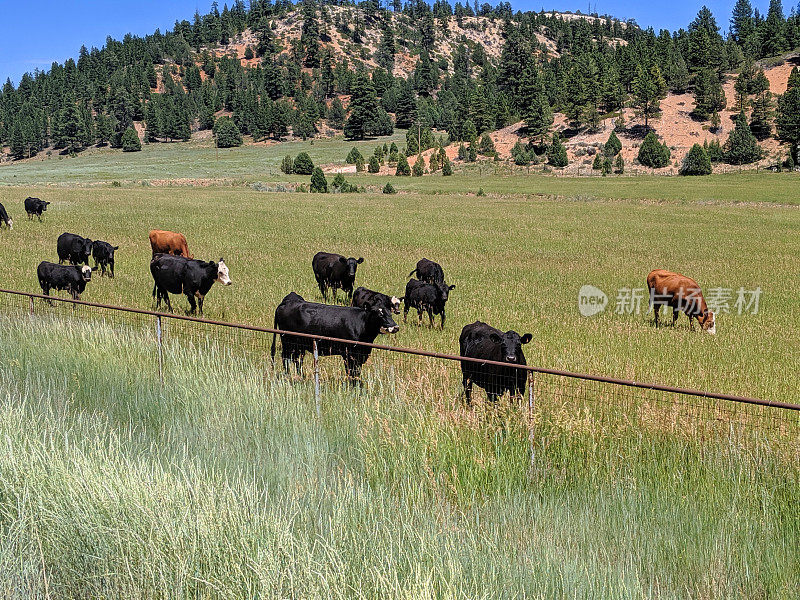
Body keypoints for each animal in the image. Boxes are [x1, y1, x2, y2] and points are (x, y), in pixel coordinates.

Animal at [272, 290, 400, 380]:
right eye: (379, 314)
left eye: (390, 312)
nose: (395, 327)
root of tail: (286, 302)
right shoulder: (349, 354)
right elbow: (351, 371)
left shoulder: (360, 354)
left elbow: (357, 372)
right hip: (287, 341)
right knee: (286, 357)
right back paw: (288, 375)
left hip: (298, 345)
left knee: (296, 359)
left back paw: (300, 376)